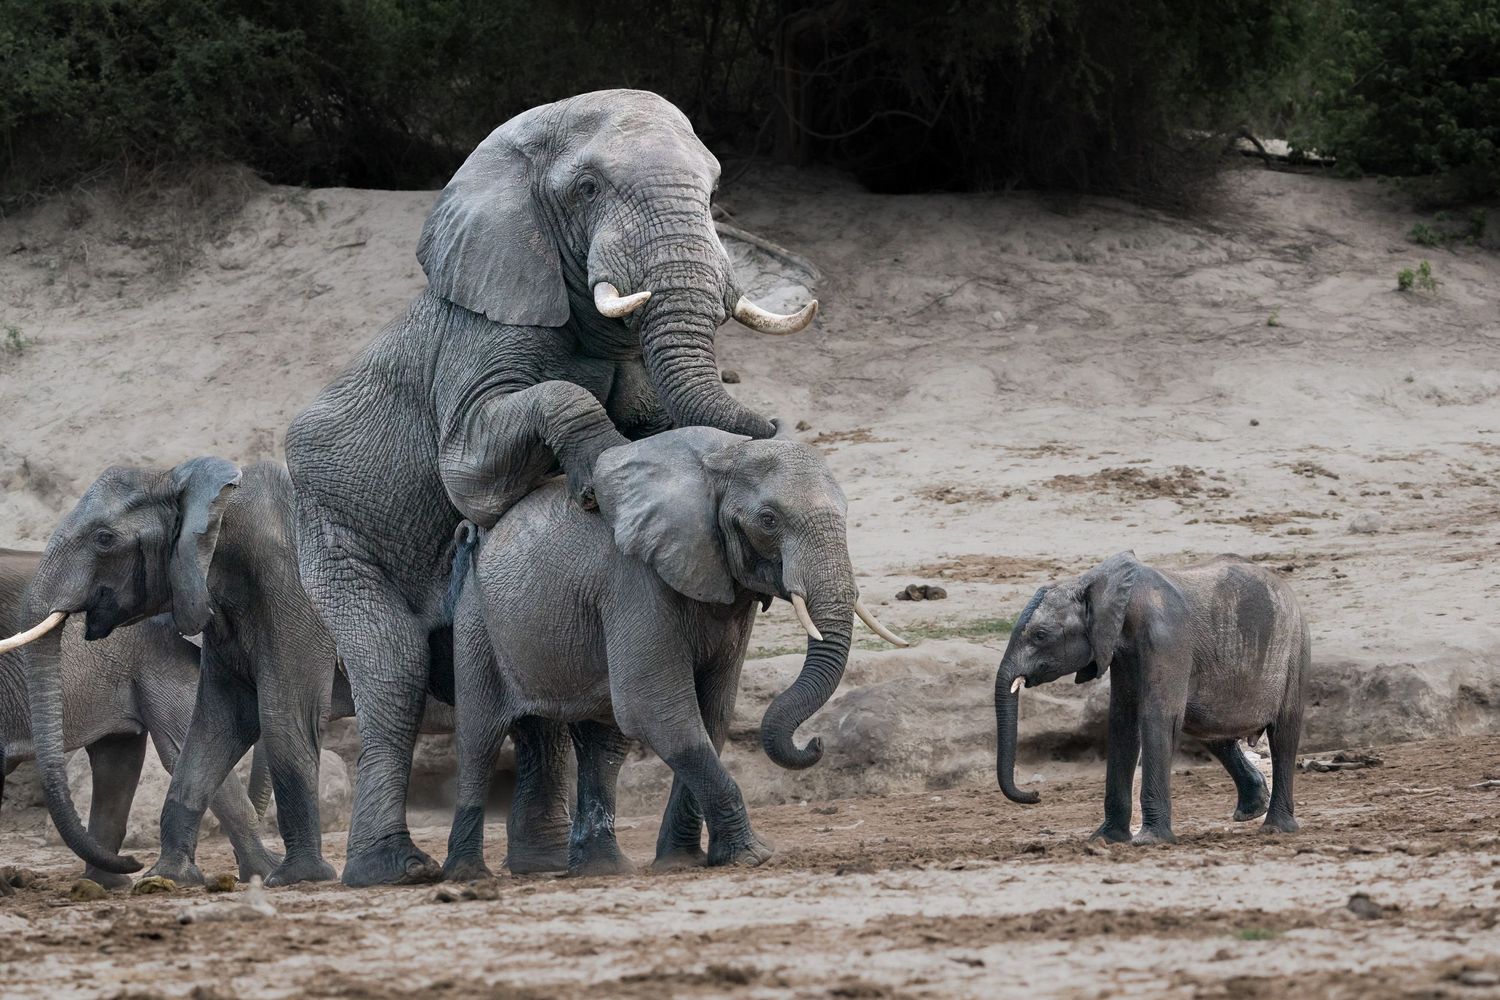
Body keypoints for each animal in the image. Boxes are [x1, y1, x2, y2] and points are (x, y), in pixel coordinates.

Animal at [0, 548, 278, 889]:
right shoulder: (161, 650)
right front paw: (264, 872)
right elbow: (183, 749)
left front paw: (109, 884)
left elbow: (119, 765)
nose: (135, 861)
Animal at [283, 89, 817, 886]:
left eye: (714, 189)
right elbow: (471, 467)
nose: (776, 422)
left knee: (541, 698)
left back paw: (544, 864)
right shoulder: (478, 332)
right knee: (395, 670)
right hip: (331, 531)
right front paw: (597, 472)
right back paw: (396, 870)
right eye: (588, 189)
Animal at [442, 427, 905, 879]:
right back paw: (468, 875)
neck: (725, 457)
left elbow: (712, 713)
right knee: (480, 740)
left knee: (602, 744)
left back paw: (604, 870)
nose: (815, 743)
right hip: (476, 623)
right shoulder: (633, 578)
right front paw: (752, 857)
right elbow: (656, 707)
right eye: (768, 520)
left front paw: (684, 862)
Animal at [995, 552, 1309, 844]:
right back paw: (1251, 810)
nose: (1036, 794)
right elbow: (1123, 722)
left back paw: (1275, 827)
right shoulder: (1121, 653)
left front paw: (1150, 841)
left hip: (1295, 647)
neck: (1100, 585)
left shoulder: (1166, 638)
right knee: (1210, 729)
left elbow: (1156, 718)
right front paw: (1106, 839)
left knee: (1283, 734)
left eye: (1040, 635)